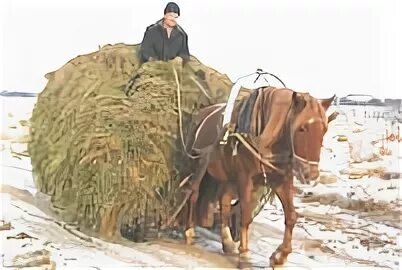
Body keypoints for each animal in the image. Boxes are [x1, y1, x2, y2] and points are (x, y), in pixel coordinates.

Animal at [181, 86, 336, 266]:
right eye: (302, 128)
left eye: (324, 129)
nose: (310, 173)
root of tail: (202, 112)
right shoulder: (245, 178)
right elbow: (245, 215)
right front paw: (244, 255)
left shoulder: (281, 180)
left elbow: (291, 216)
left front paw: (280, 256)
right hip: (198, 165)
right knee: (193, 193)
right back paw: (189, 232)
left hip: (228, 177)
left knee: (224, 201)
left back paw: (227, 242)